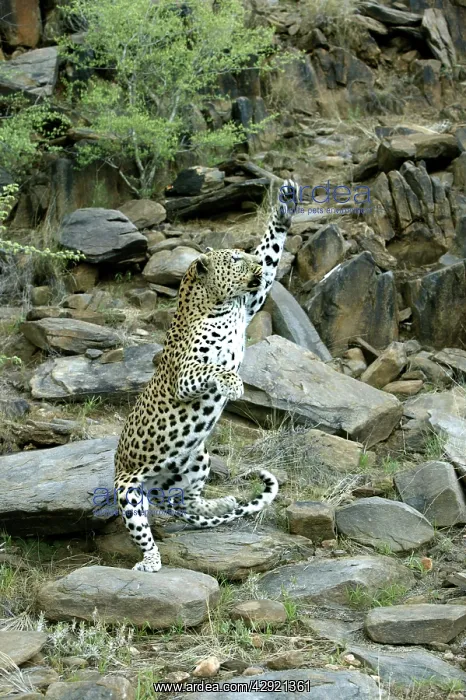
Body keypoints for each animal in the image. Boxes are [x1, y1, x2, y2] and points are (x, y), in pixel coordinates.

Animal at [114, 180, 298, 572]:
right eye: (235, 260)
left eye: (246, 255)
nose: (252, 263)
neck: (220, 306)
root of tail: (156, 491)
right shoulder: (185, 377)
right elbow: (212, 368)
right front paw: (234, 384)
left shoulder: (252, 301)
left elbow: (272, 250)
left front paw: (285, 205)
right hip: (129, 491)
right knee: (145, 529)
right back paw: (150, 561)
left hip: (198, 457)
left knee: (188, 502)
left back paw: (221, 503)